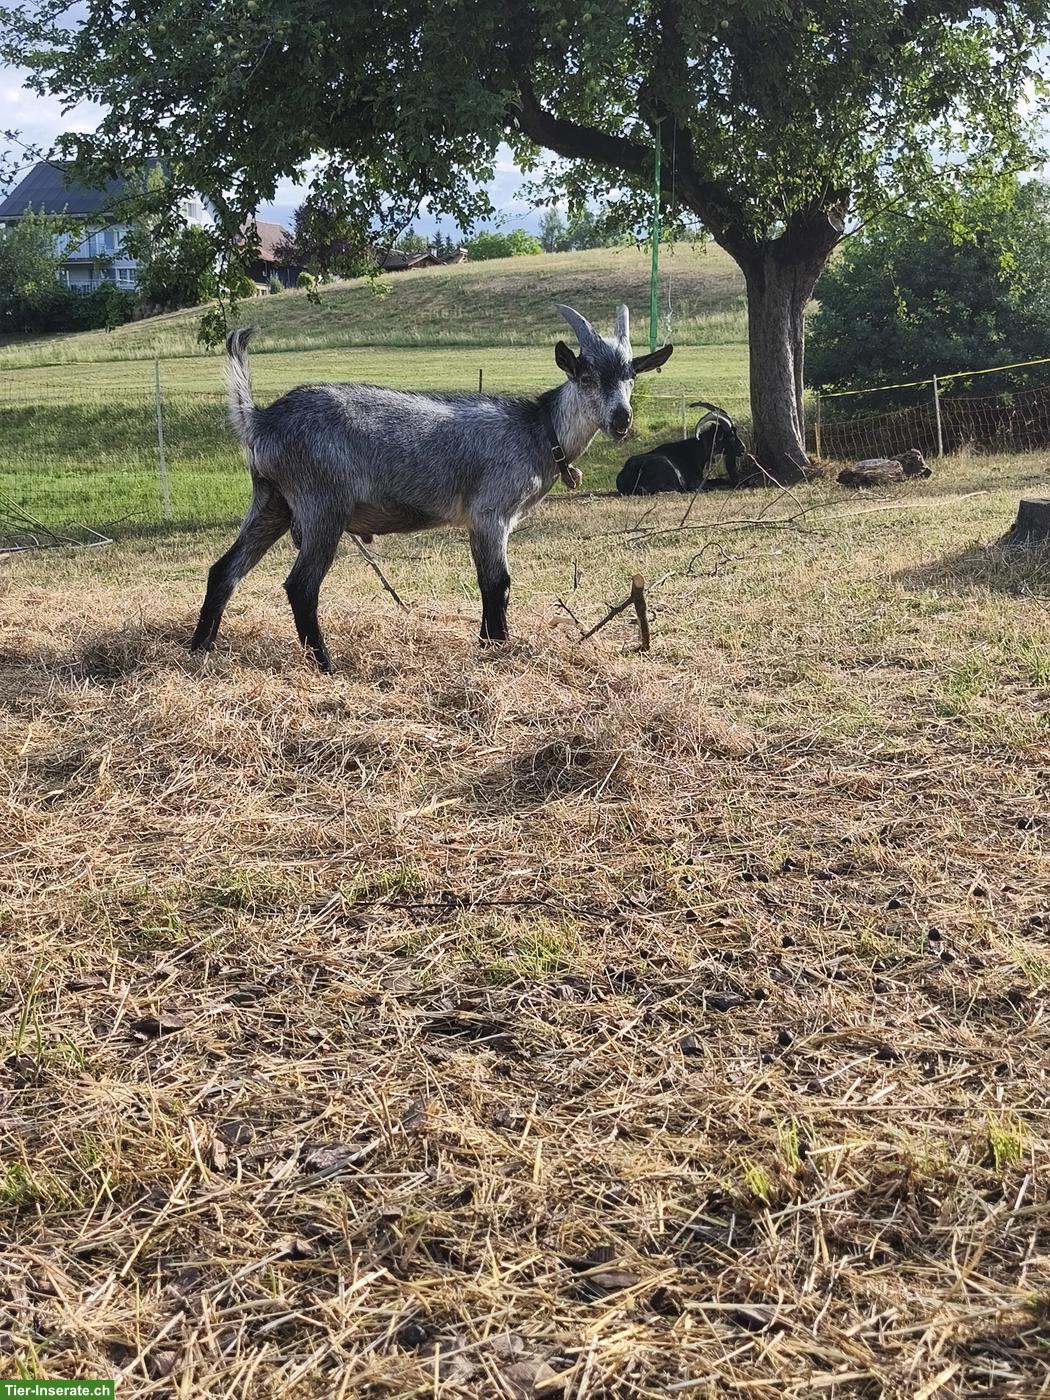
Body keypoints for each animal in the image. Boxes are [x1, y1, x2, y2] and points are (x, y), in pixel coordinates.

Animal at [190, 304, 672, 671]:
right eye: (586, 377)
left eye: (631, 375)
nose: (621, 419)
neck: (540, 430)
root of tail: (261, 419)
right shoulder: (490, 513)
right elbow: (498, 583)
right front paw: (497, 649)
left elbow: (492, 584)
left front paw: (490, 646)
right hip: (322, 503)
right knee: (301, 586)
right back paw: (326, 664)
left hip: (272, 501)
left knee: (224, 571)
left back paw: (200, 649)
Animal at [616, 403, 747, 495]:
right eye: (731, 436)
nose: (743, 448)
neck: (697, 450)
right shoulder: (697, 481)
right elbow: (719, 480)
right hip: (664, 463)